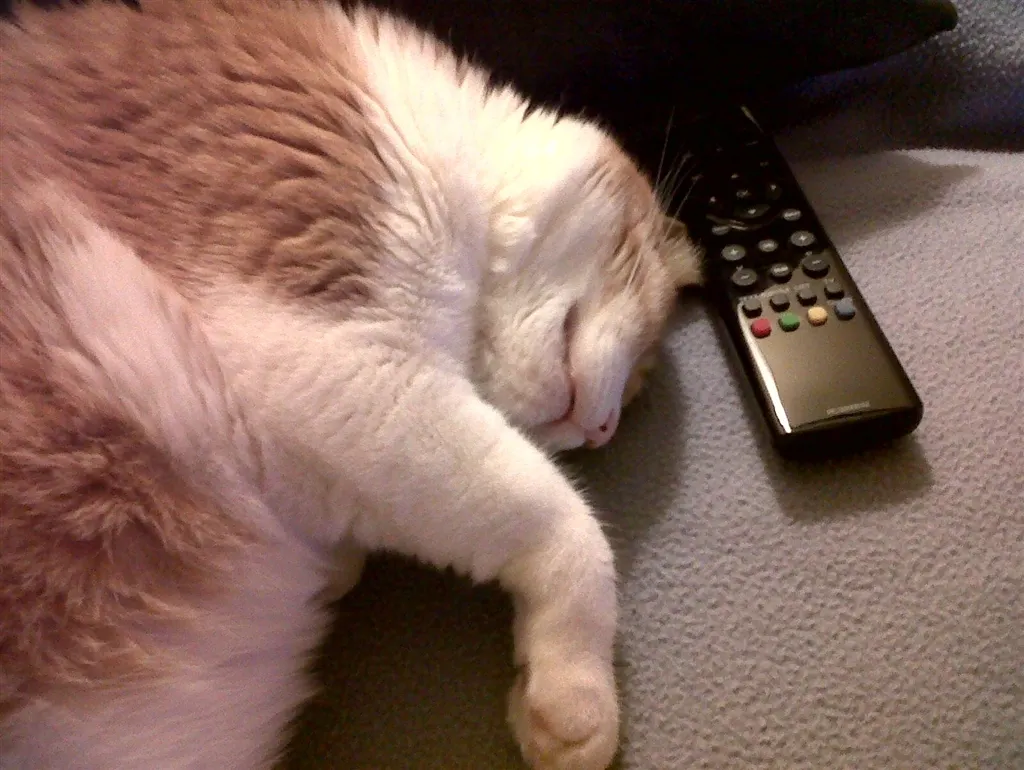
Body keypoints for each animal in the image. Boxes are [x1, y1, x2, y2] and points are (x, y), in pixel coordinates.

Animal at [0, 1, 701, 768]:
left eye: (636, 397)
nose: (604, 431)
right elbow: (562, 519)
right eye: (643, 360)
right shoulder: (344, 363)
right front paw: (576, 697)